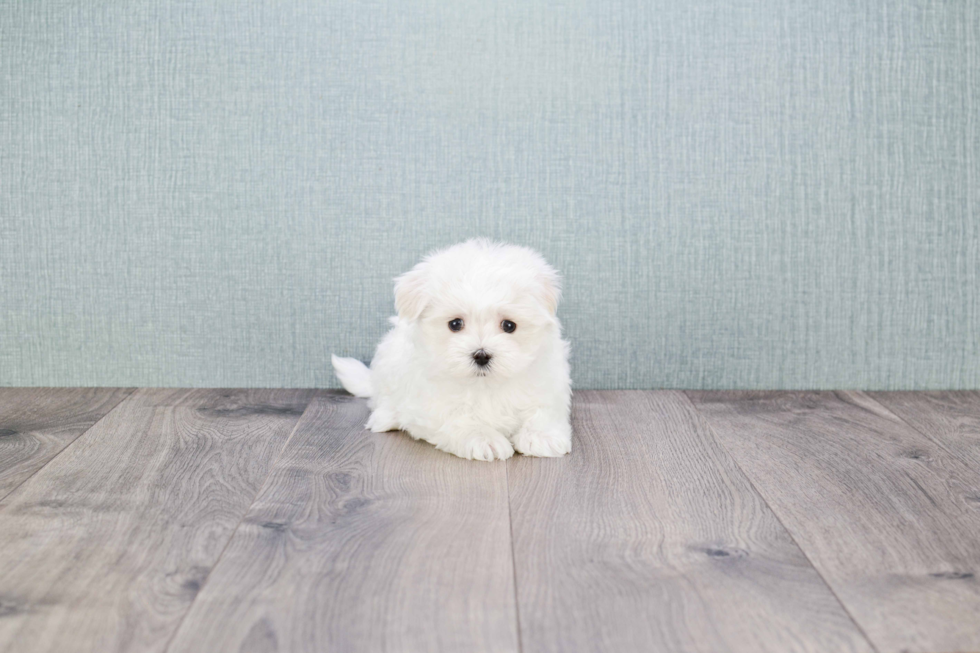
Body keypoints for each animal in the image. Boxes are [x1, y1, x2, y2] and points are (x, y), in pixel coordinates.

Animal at [334, 238, 572, 458]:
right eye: (455, 324)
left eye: (509, 325)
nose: (481, 355)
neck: (484, 385)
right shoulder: (432, 404)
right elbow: (459, 418)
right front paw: (484, 439)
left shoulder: (546, 383)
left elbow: (543, 410)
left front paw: (542, 436)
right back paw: (385, 417)